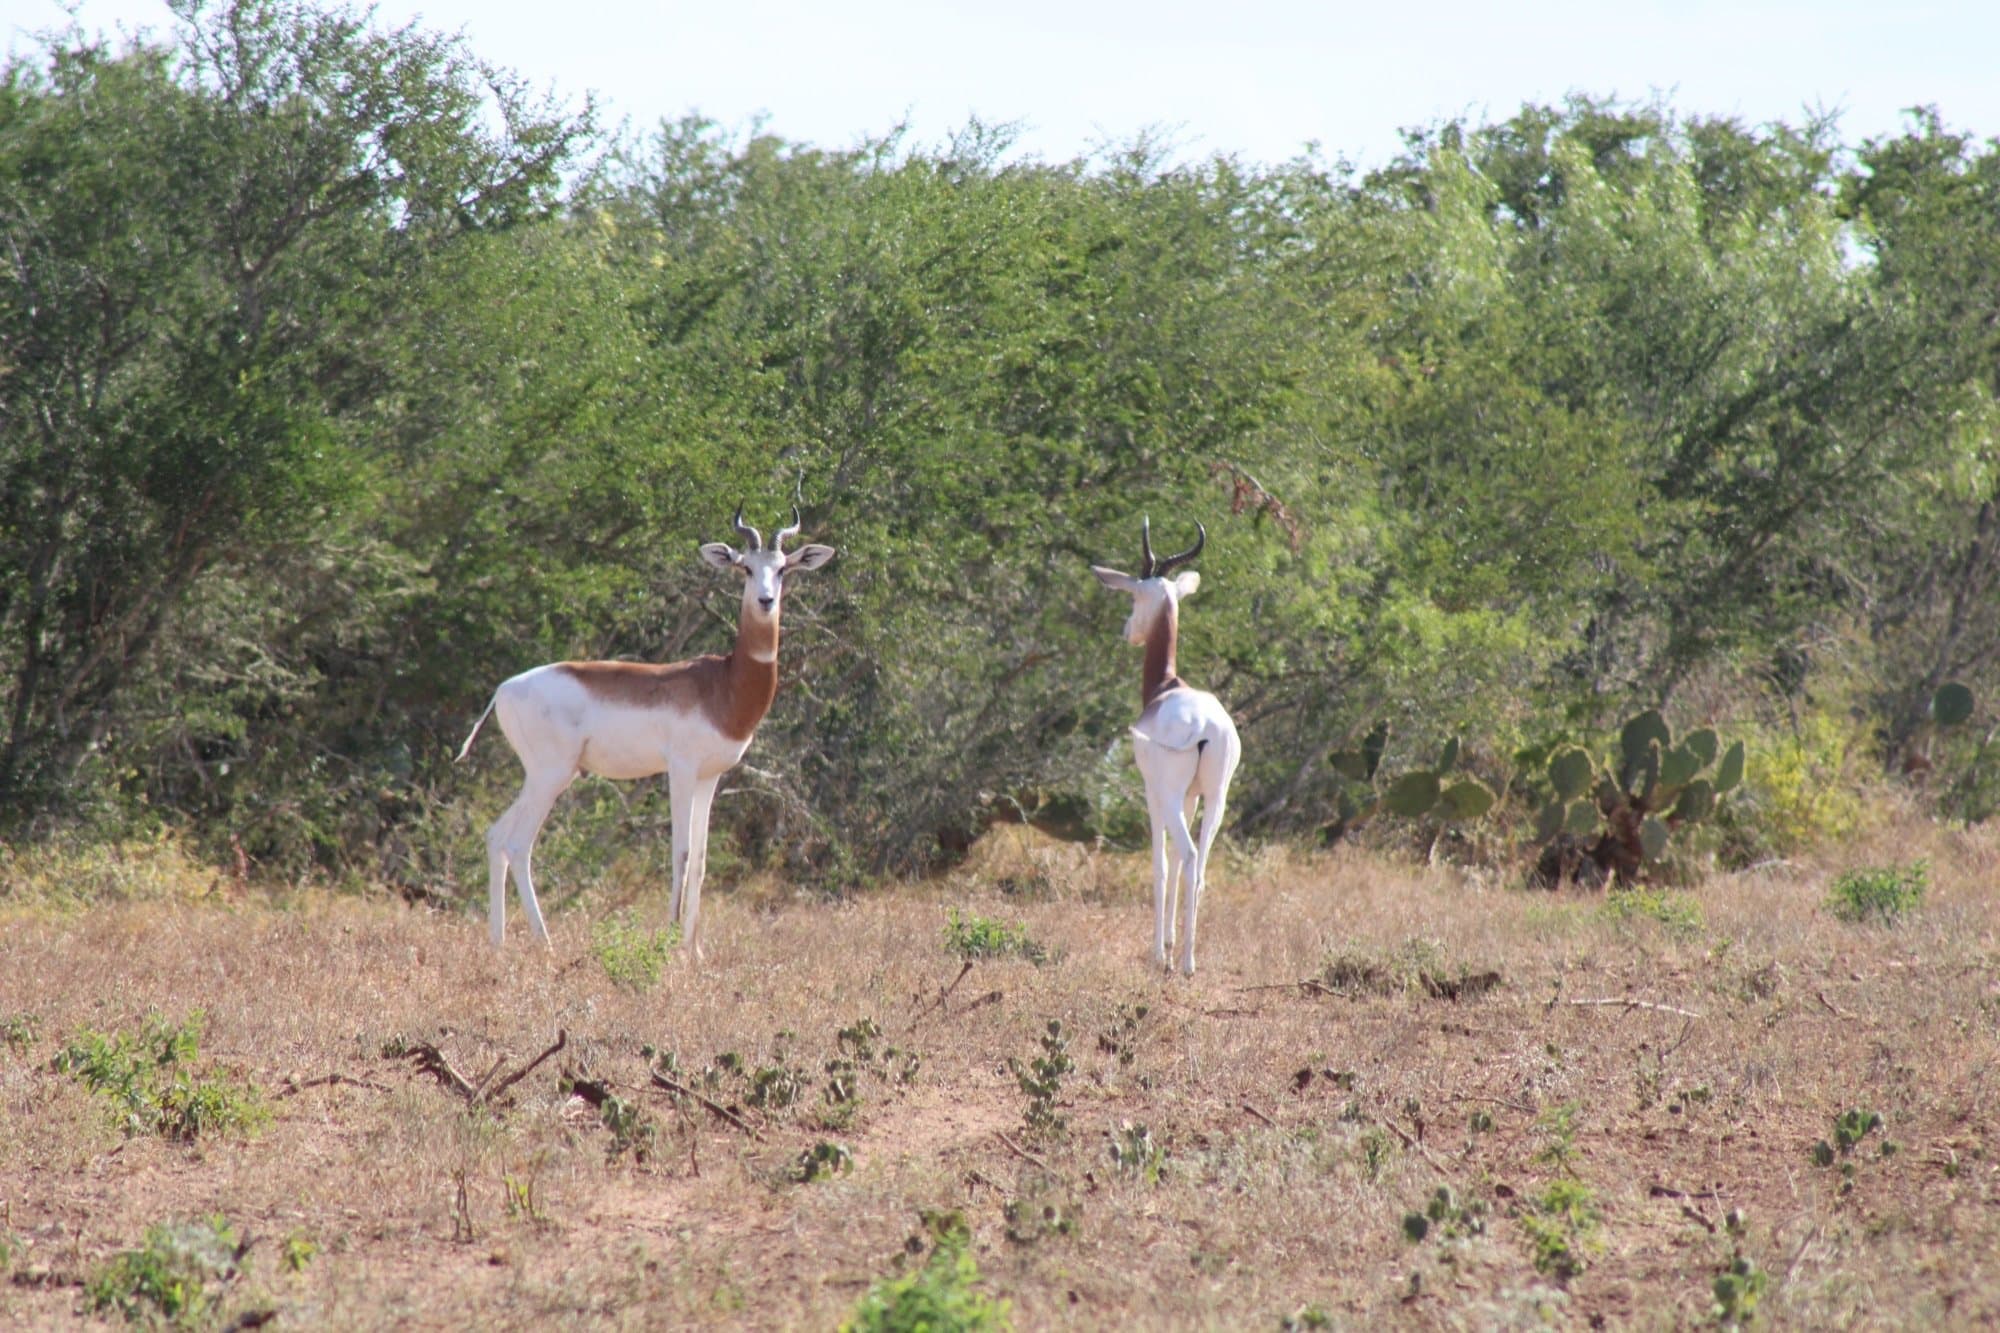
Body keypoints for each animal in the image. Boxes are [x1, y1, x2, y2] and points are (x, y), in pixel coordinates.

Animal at [456, 507, 834, 960]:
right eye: (745, 566)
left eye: (782, 569)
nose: (765, 601)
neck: (722, 683)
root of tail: (502, 690)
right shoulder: (681, 769)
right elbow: (681, 853)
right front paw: (671, 943)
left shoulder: (711, 776)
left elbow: (701, 860)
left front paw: (696, 951)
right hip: (550, 776)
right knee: (517, 843)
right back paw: (544, 942)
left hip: (544, 777)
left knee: (496, 836)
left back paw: (498, 944)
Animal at [1092, 518, 1241, 976]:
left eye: (1135, 593)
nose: (1128, 632)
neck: (1166, 687)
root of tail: (1207, 727)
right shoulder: (1192, 796)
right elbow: (1173, 865)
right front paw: (1171, 944)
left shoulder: (1153, 792)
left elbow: (1160, 865)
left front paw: (1160, 952)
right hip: (1216, 798)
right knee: (1200, 865)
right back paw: (1188, 955)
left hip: (1172, 796)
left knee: (1190, 858)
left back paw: (1183, 964)